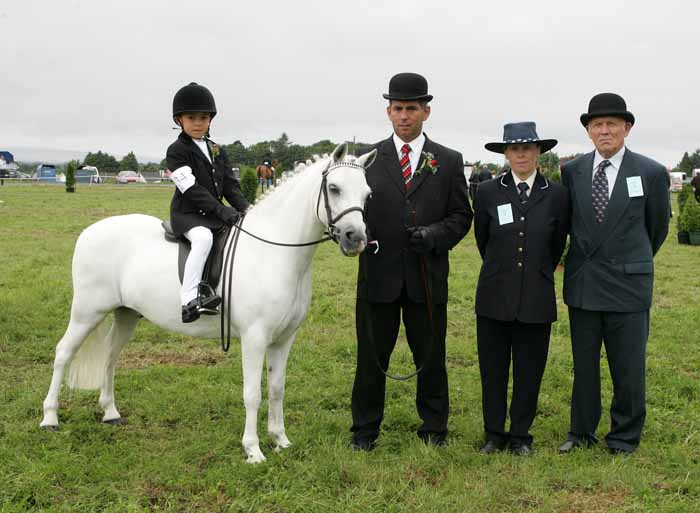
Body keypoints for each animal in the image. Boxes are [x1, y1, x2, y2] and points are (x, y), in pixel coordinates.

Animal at [40, 142, 374, 462]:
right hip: (87, 312)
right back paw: (50, 418)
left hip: (126, 314)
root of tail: (89, 232)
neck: (274, 252)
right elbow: (252, 393)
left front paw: (281, 440)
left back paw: (110, 412)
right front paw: (253, 450)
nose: (355, 238)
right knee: (63, 353)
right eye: (334, 188)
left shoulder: (284, 338)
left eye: (367, 194)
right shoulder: (255, 338)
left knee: (110, 355)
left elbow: (277, 388)